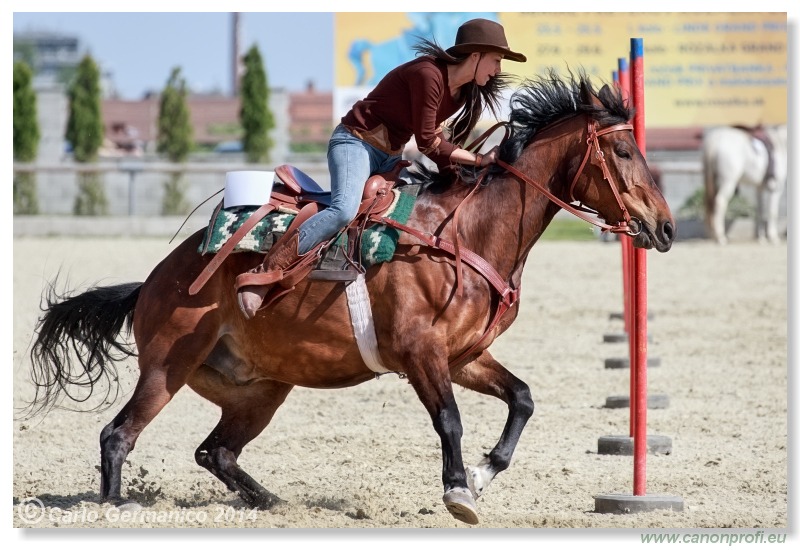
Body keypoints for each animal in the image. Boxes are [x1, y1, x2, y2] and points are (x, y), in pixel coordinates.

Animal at [25, 71, 676, 528]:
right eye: (623, 153)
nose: (665, 227)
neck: (462, 235)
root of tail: (154, 280)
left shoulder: (464, 357)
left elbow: (522, 397)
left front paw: (484, 473)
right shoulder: (420, 354)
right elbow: (449, 419)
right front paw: (458, 490)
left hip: (261, 389)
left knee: (216, 452)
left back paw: (272, 502)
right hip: (169, 365)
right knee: (119, 435)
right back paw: (117, 507)